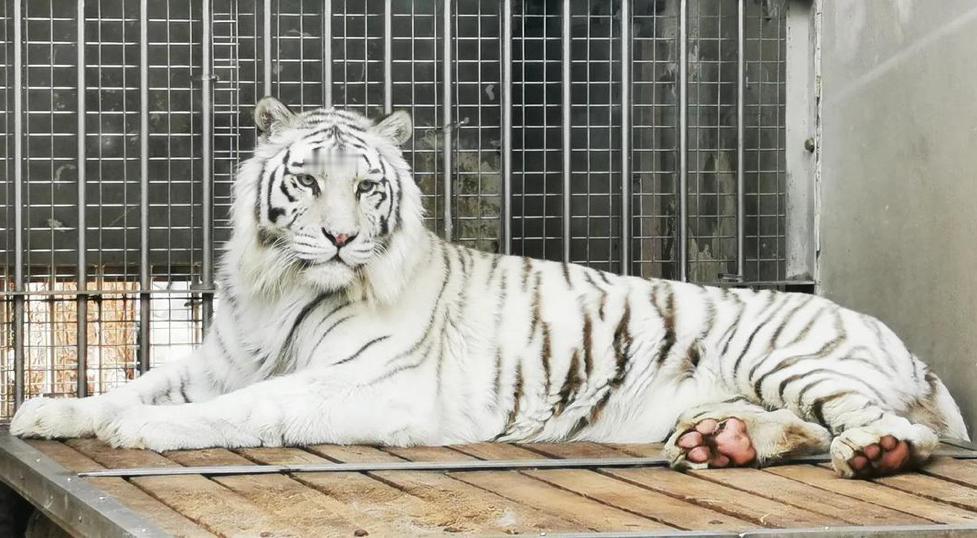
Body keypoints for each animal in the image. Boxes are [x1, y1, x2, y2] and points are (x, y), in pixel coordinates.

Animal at [11, 97, 967, 478]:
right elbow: (135, 382)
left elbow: (245, 408)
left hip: (787, 357)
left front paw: (145, 431)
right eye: (307, 181)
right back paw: (720, 444)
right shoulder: (221, 358)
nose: (340, 237)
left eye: (366, 188)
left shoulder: (365, 383)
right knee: (798, 429)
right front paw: (49, 410)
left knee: (876, 425)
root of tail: (902, 344)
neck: (284, 287)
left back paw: (872, 453)